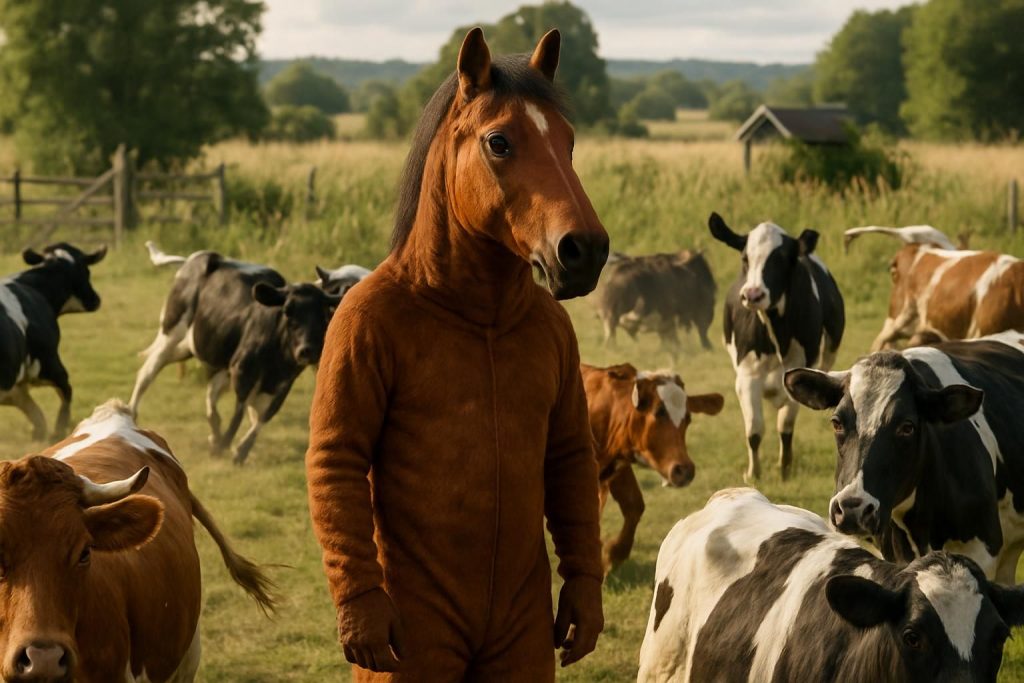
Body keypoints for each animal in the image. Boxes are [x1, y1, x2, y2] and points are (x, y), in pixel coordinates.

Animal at [306, 27, 609, 681]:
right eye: (499, 142)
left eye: (569, 142)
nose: (587, 250)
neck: (480, 315)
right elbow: (338, 459)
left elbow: (572, 465)